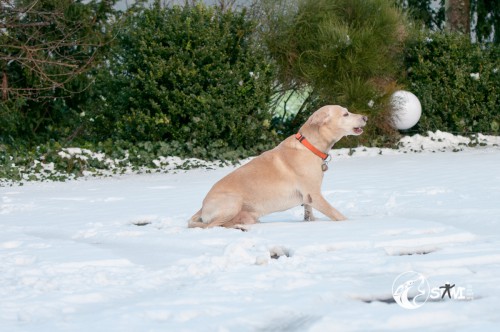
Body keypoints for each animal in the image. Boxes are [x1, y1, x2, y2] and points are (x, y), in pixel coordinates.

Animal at [188, 105, 368, 228]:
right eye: (345, 114)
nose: (365, 117)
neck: (310, 146)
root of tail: (202, 208)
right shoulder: (314, 195)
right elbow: (337, 214)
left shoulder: (308, 198)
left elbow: (309, 212)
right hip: (232, 202)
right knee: (211, 226)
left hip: (246, 215)